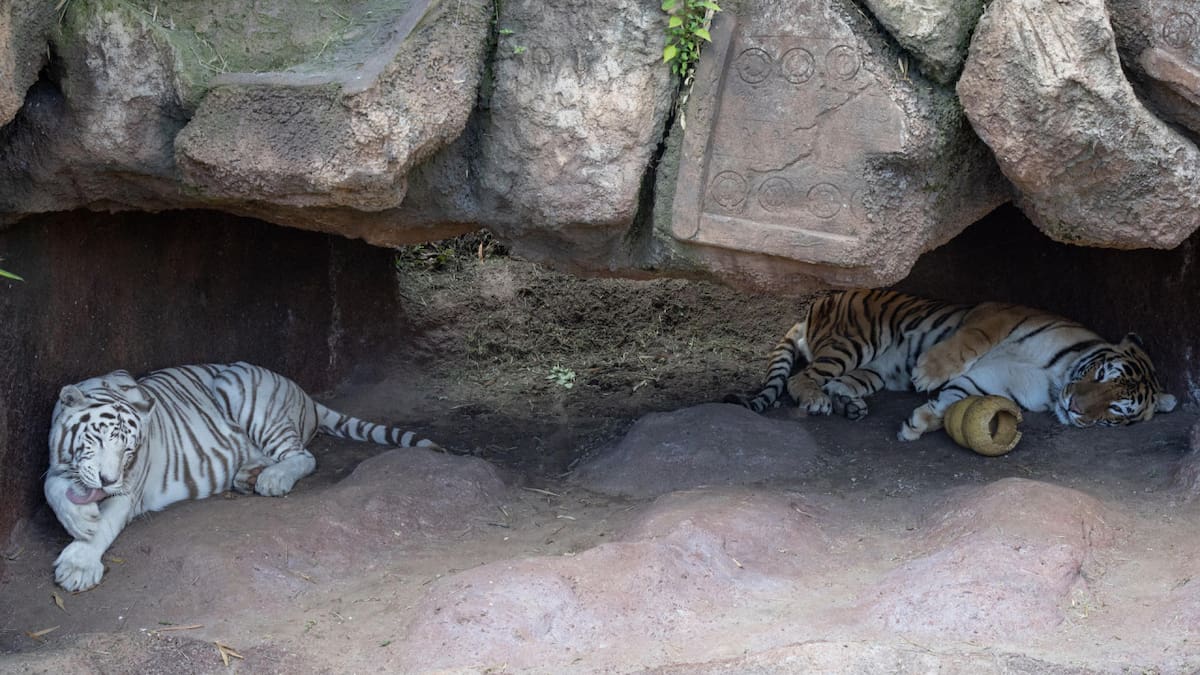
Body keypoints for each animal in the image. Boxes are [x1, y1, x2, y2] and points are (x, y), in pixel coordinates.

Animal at [45, 362, 438, 592]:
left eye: (128, 449)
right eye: (96, 438)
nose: (108, 480)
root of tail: (302, 392)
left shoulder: (129, 488)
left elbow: (107, 522)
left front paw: (78, 564)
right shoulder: (54, 465)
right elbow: (53, 490)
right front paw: (80, 518)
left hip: (245, 396)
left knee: (303, 456)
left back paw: (271, 479)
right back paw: (248, 474)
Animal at [728, 289, 1177, 441]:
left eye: (1115, 410)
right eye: (1100, 375)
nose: (1075, 408)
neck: (1054, 381)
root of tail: (813, 307)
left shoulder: (990, 383)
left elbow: (951, 404)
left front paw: (919, 423)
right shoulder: (996, 314)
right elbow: (967, 342)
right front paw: (929, 372)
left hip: (872, 371)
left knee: (838, 382)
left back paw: (848, 405)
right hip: (854, 340)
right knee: (802, 378)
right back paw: (817, 400)